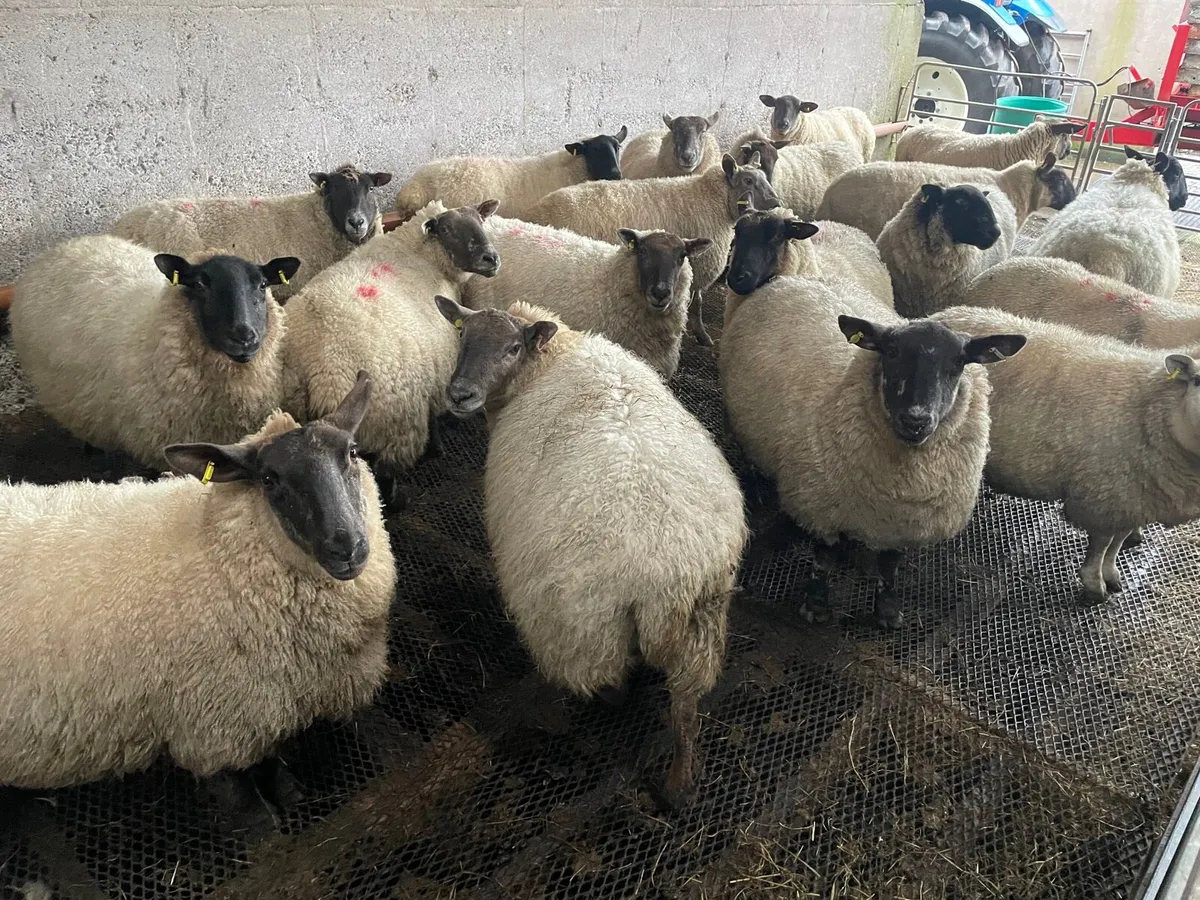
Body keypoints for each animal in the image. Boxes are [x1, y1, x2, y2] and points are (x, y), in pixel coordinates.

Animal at [283, 200, 500, 484]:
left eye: (480, 220)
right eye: (446, 230)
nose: (491, 258)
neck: (421, 254)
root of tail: (317, 371)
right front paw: (437, 447)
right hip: (393, 424)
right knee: (386, 475)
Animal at [434, 296, 747, 809]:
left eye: (512, 347)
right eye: (462, 335)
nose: (459, 394)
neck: (551, 360)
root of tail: (663, 578)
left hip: (587, 626)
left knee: (612, 678)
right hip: (703, 619)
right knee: (684, 706)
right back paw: (679, 787)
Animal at [525, 153, 780, 346]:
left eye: (764, 177)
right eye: (748, 180)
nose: (776, 202)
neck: (714, 200)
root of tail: (537, 212)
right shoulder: (697, 268)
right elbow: (697, 305)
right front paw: (702, 335)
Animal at [720, 275, 1025, 627]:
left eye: (958, 362)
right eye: (891, 351)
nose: (916, 419)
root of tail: (794, 278)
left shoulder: (902, 523)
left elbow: (889, 566)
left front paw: (888, 610)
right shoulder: (821, 507)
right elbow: (824, 559)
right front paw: (816, 606)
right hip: (744, 417)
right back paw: (756, 487)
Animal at [932, 305, 1200, 604]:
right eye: (1198, 381)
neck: (1153, 407)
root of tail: (944, 314)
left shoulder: (1130, 499)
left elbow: (1117, 541)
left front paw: (1112, 575)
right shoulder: (1105, 497)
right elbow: (1102, 545)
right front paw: (1095, 585)